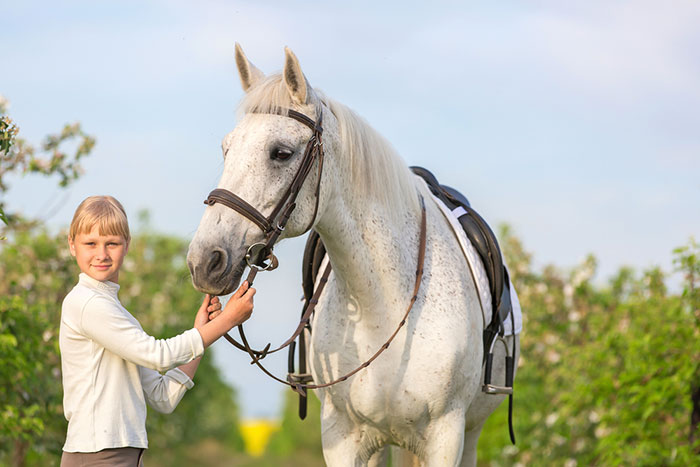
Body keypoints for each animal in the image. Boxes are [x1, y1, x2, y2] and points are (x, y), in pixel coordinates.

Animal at [186, 44, 520, 466]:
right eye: (227, 149)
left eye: (281, 153)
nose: (204, 261)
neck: (384, 303)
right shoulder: (343, 437)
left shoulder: (446, 437)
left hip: (467, 435)